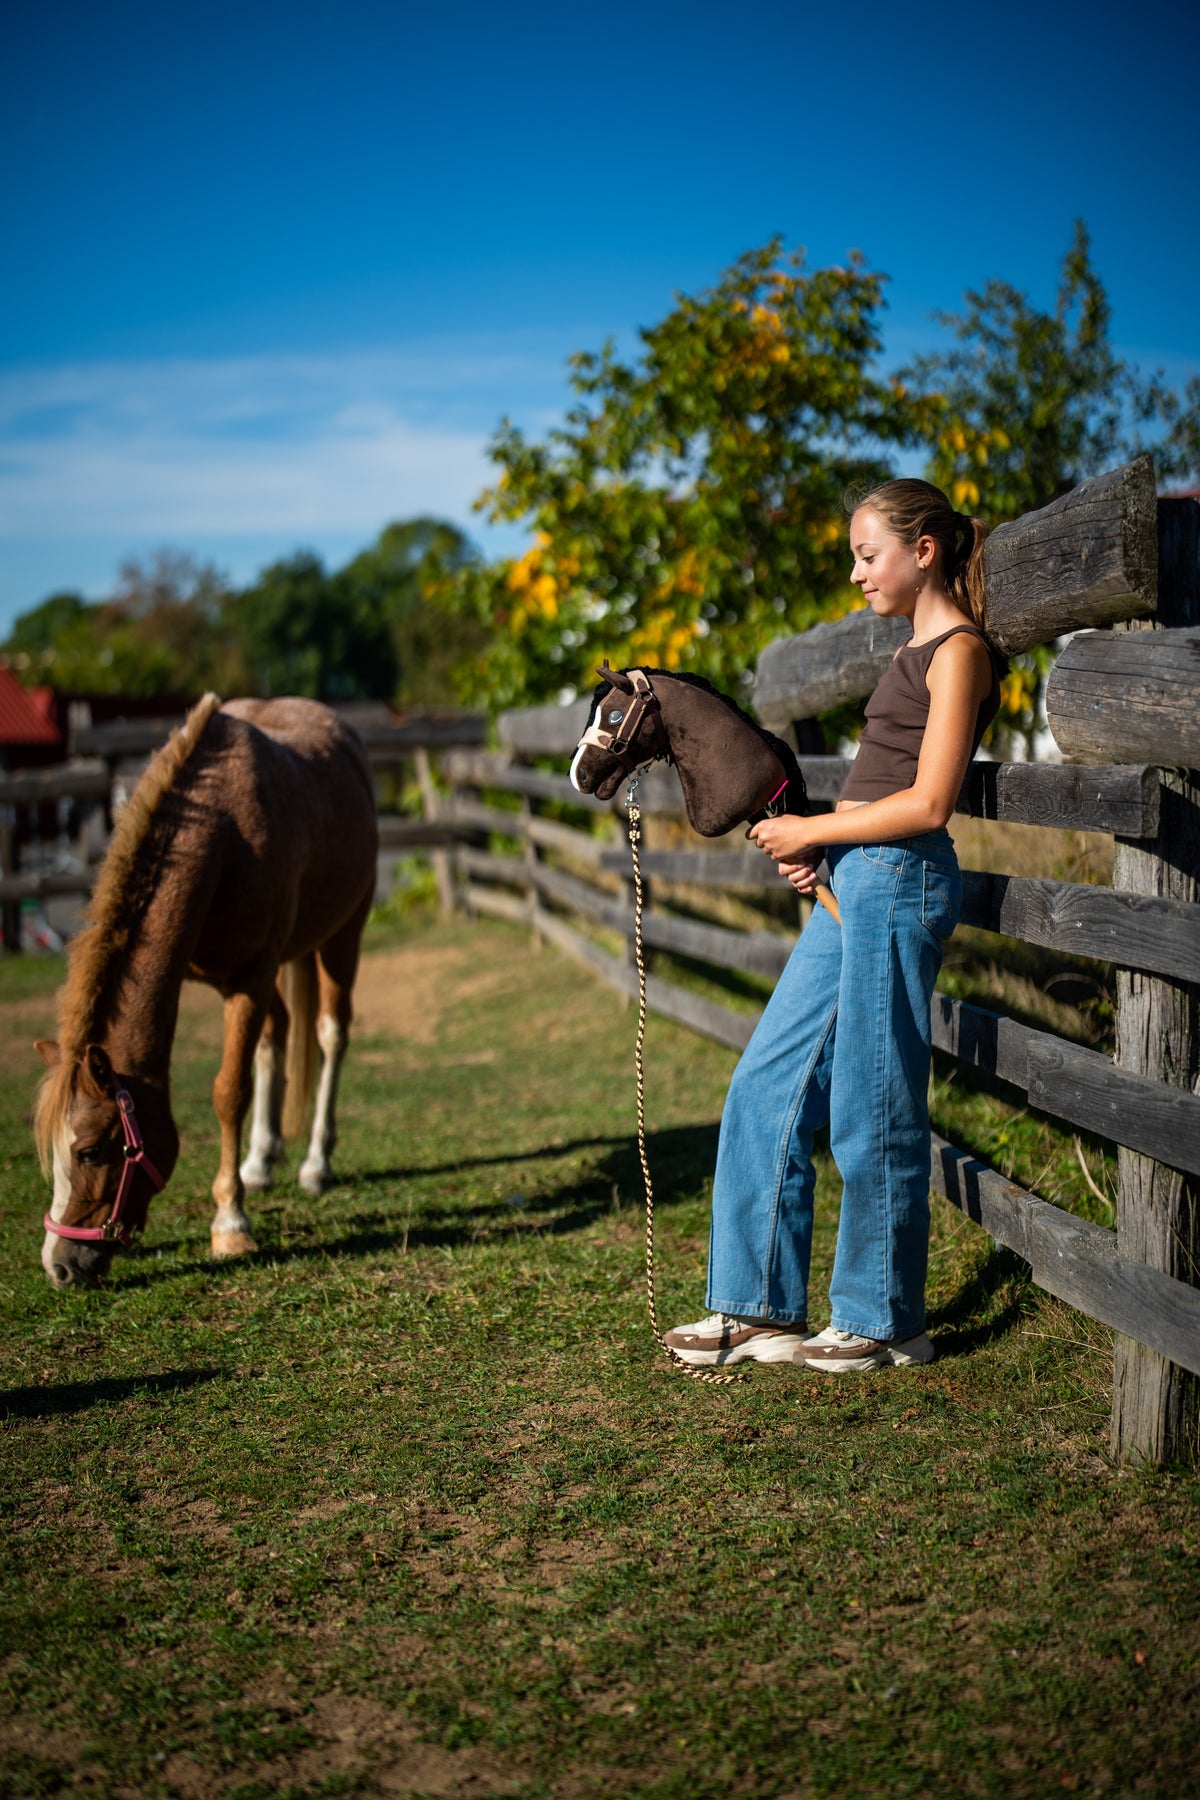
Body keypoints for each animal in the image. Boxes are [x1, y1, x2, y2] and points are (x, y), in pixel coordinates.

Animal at [34, 694, 379, 1288]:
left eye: (92, 1152)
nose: (58, 1267)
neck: (224, 829)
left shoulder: (250, 980)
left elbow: (229, 1092)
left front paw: (231, 1223)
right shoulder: (240, 981)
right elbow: (255, 1061)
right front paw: (247, 1178)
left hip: (343, 936)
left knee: (330, 1035)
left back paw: (316, 1164)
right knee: (278, 1035)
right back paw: (261, 1159)